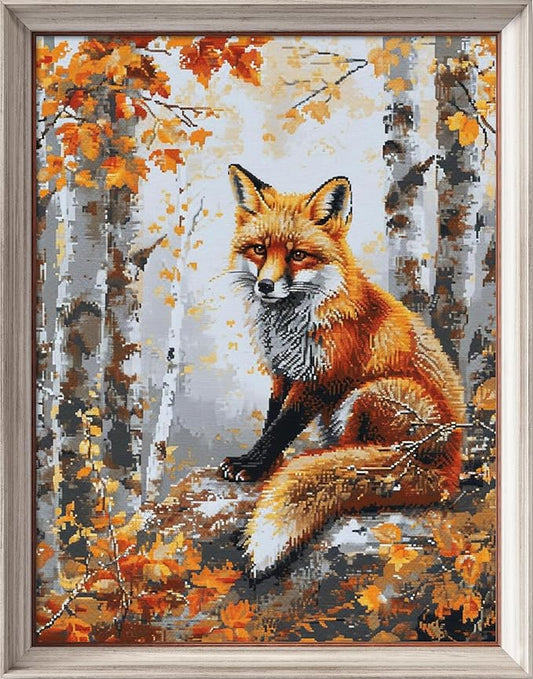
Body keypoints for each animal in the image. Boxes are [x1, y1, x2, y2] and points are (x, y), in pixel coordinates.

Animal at [220, 164, 465, 576]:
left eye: (298, 255)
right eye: (259, 249)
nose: (265, 286)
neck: (289, 326)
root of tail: (448, 476)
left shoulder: (321, 379)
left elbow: (282, 425)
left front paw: (252, 466)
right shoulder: (283, 372)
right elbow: (272, 421)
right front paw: (263, 463)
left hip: (372, 393)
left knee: (358, 453)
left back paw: (334, 462)